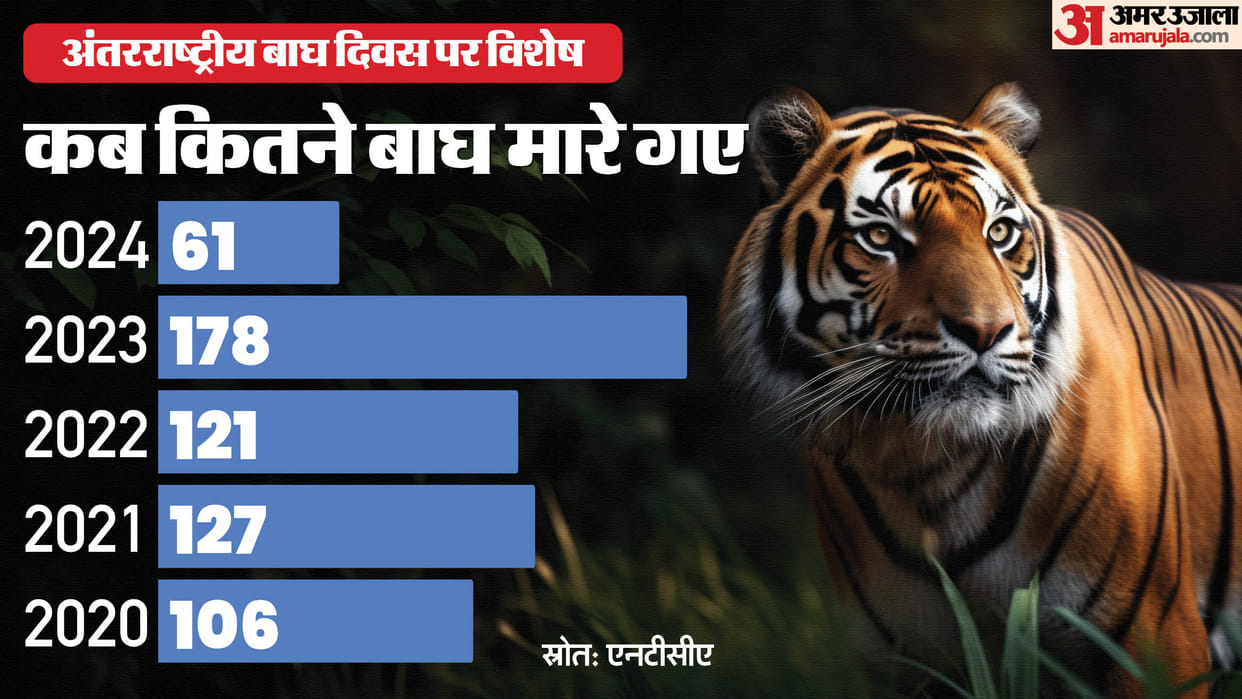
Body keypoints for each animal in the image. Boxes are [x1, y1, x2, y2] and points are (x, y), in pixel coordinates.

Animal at [717, 82, 1242, 696]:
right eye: (881, 237)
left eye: (1000, 232)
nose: (986, 331)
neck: (923, 476)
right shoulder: (904, 662)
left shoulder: (1154, 636)